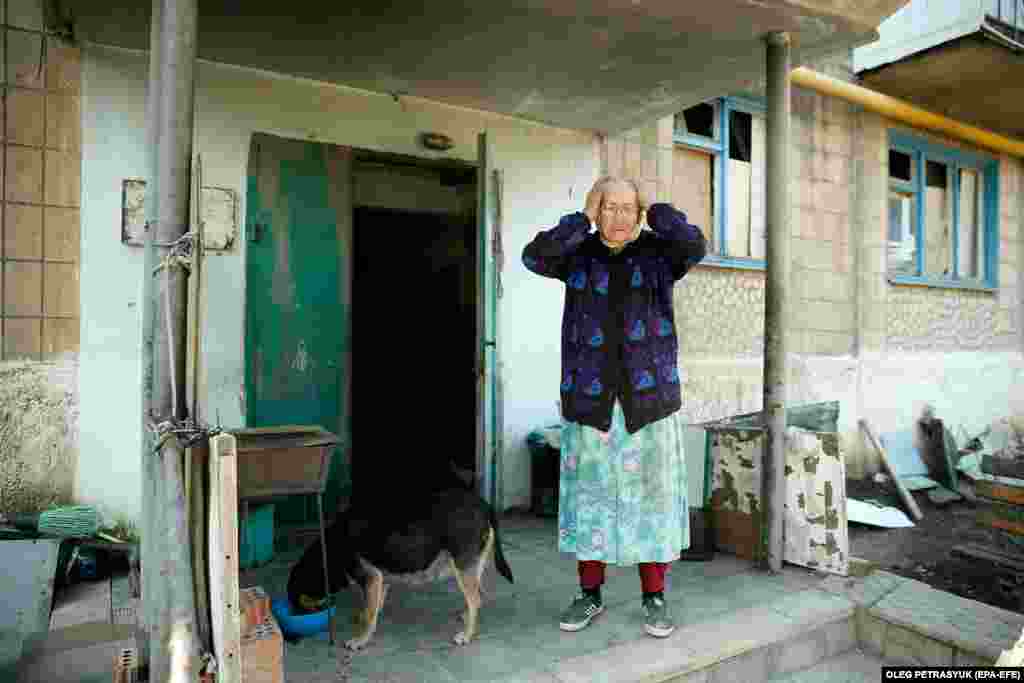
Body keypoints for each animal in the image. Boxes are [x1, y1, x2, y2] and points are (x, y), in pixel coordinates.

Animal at [286, 471, 512, 651]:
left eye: (296, 598)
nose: (291, 635)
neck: (331, 549)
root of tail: (483, 504)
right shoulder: (380, 580)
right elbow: (372, 608)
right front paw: (364, 619)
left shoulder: (371, 577)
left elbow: (370, 614)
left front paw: (360, 640)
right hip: (472, 564)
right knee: (478, 595)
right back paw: (466, 618)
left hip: (462, 566)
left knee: (475, 599)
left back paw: (466, 635)